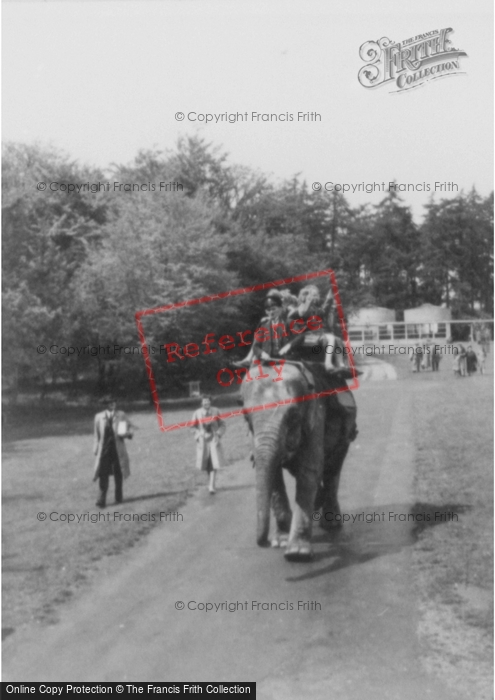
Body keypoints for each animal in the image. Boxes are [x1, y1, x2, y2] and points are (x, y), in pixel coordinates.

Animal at [241, 360, 354, 564]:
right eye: (246, 416)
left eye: (293, 415)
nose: (265, 543)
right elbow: (275, 475)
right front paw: (281, 541)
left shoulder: (316, 415)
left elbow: (309, 470)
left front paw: (297, 554)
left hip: (345, 434)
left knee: (333, 468)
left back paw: (331, 523)